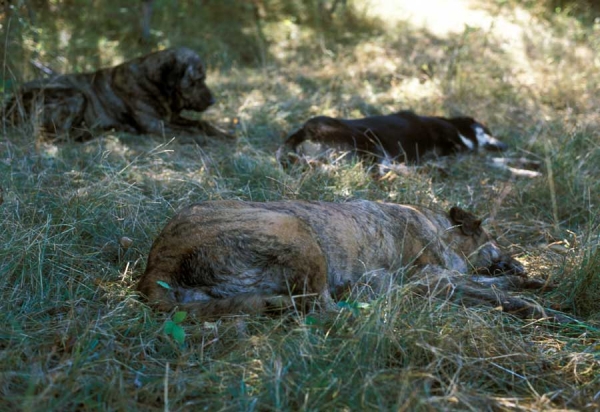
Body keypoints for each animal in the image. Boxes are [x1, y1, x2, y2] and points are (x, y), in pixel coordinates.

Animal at [5, 47, 233, 142]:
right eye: (196, 81)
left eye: (204, 78)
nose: (213, 100)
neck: (154, 82)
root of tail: (6, 108)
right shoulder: (156, 125)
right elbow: (189, 132)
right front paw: (204, 139)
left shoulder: (171, 118)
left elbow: (201, 124)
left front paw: (223, 133)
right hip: (76, 95)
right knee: (58, 136)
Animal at [137, 201, 564, 320]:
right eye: (493, 240)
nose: (518, 261)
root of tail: (156, 265)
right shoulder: (436, 277)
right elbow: (491, 290)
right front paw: (534, 305)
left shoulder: (444, 278)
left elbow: (491, 284)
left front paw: (532, 283)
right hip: (297, 231)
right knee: (324, 307)